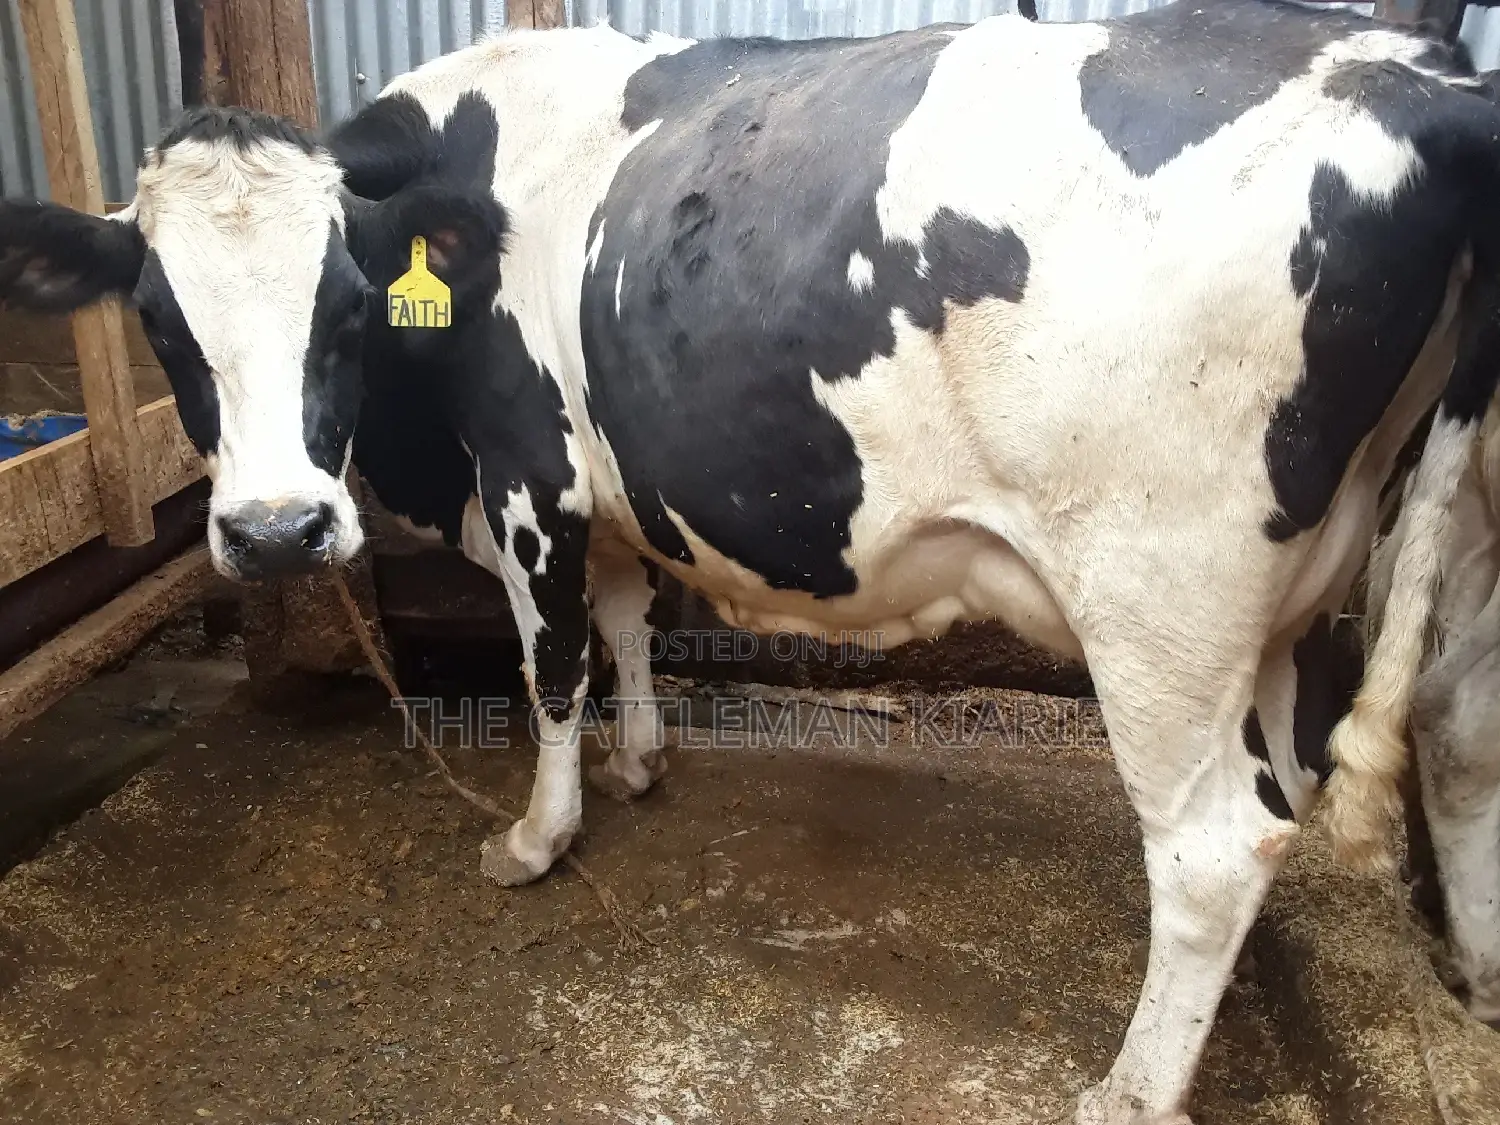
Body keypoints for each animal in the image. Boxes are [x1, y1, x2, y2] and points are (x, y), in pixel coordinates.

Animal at [3, 1, 1500, 1119]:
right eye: (160, 320)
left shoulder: (531, 472)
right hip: (1333, 577)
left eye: (349, 303)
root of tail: (1417, 77)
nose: (276, 531)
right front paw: (640, 762)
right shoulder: (600, 489)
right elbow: (623, 619)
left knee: (1212, 848)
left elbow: (550, 662)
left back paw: (1129, 1090)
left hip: (1160, 600)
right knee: (1330, 776)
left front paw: (537, 835)